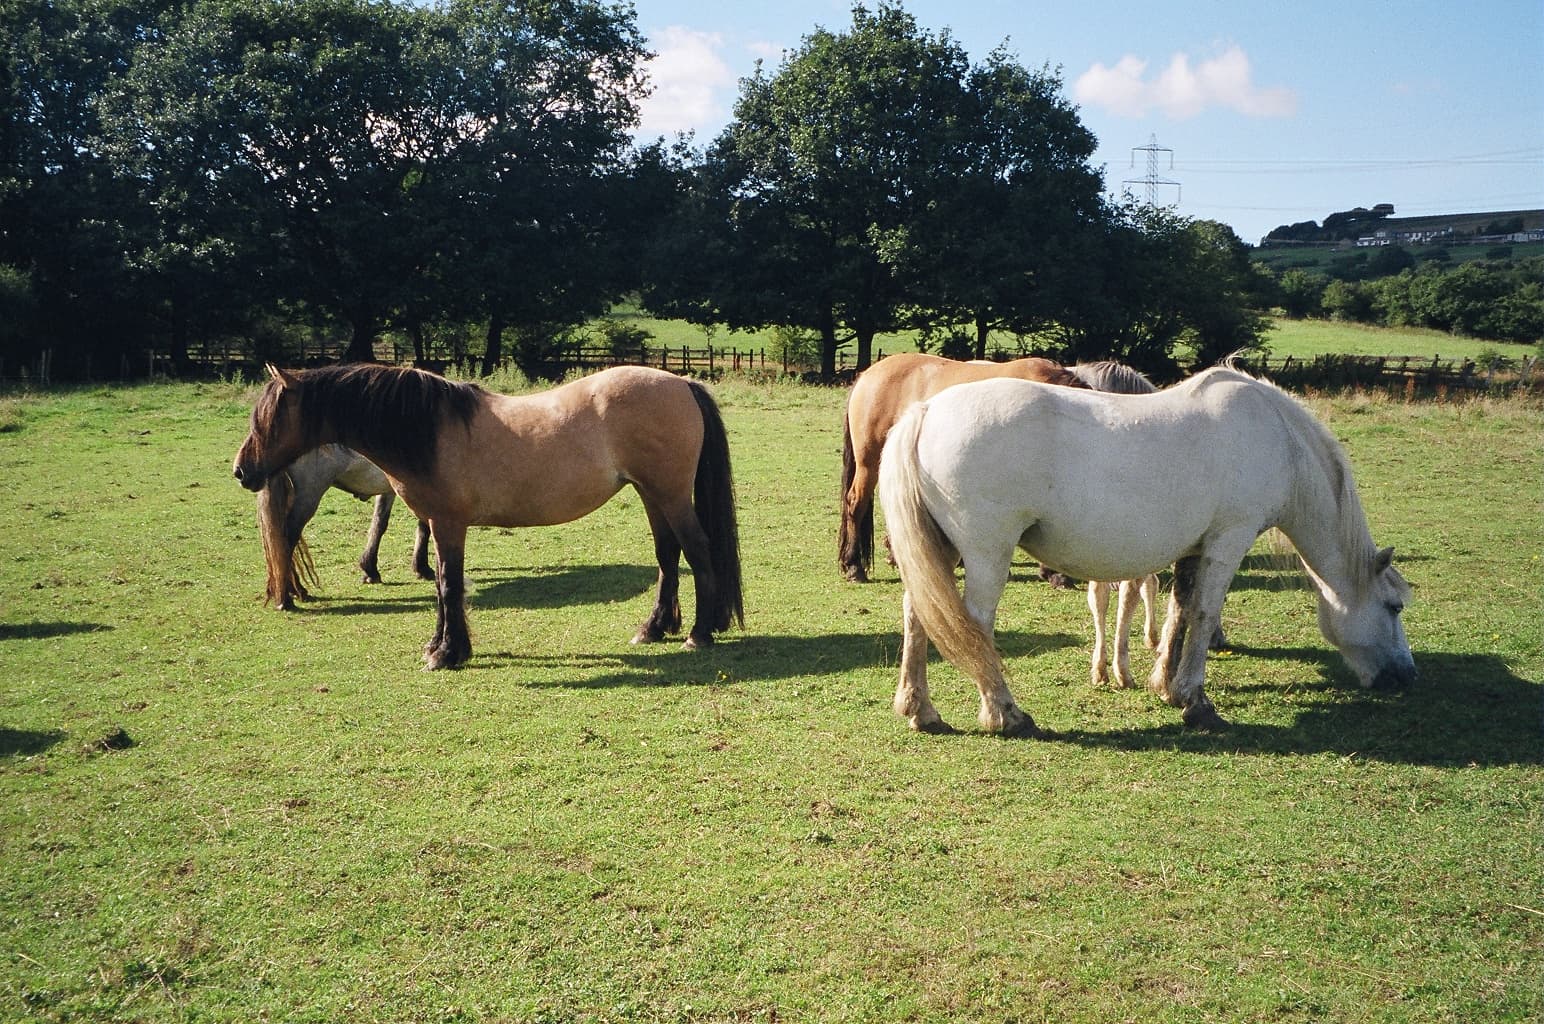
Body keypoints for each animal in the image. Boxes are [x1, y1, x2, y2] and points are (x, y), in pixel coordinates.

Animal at [256, 444, 432, 610]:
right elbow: (424, 527)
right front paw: (422, 568)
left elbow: (379, 523)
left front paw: (370, 569)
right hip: (309, 495)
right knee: (286, 541)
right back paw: (288, 596)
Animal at [877, 365, 1415, 735]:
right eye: (1393, 606)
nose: (1404, 677)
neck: (1279, 440)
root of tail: (926, 412)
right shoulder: (1229, 540)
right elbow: (1204, 617)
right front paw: (1197, 702)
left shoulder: (1194, 549)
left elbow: (1180, 612)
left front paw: (1166, 686)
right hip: (987, 555)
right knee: (973, 625)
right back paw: (1005, 714)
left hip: (940, 552)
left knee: (918, 615)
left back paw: (921, 710)